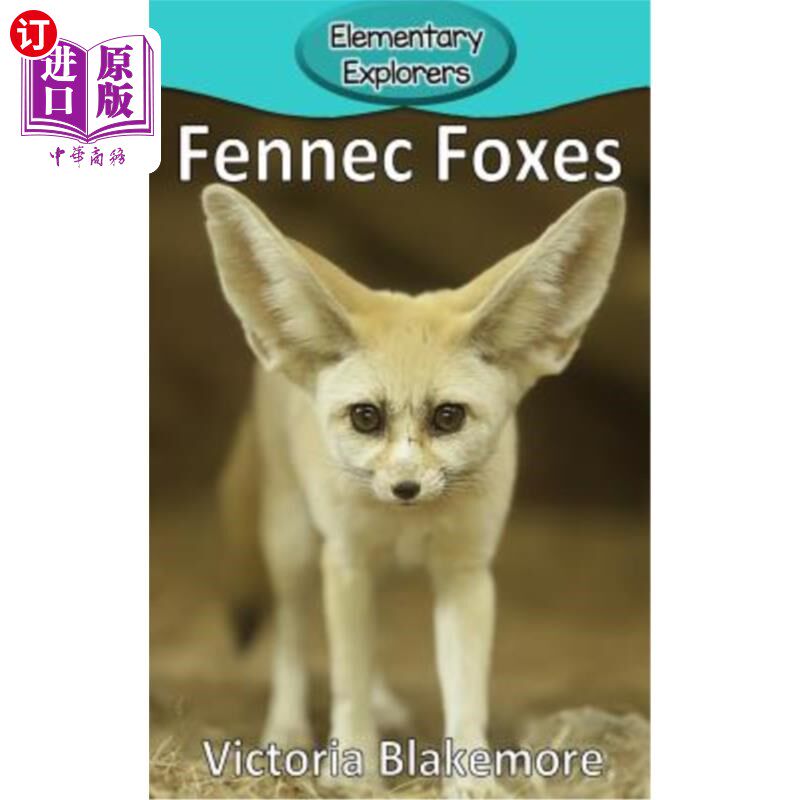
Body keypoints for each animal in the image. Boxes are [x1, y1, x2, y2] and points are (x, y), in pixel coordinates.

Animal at [201, 183, 626, 797]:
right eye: (366, 417)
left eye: (448, 417)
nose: (405, 486)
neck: (408, 523)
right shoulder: (346, 560)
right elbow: (346, 679)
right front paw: (354, 768)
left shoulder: (465, 572)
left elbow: (465, 692)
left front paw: (472, 780)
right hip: (295, 548)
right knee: (291, 635)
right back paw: (285, 727)